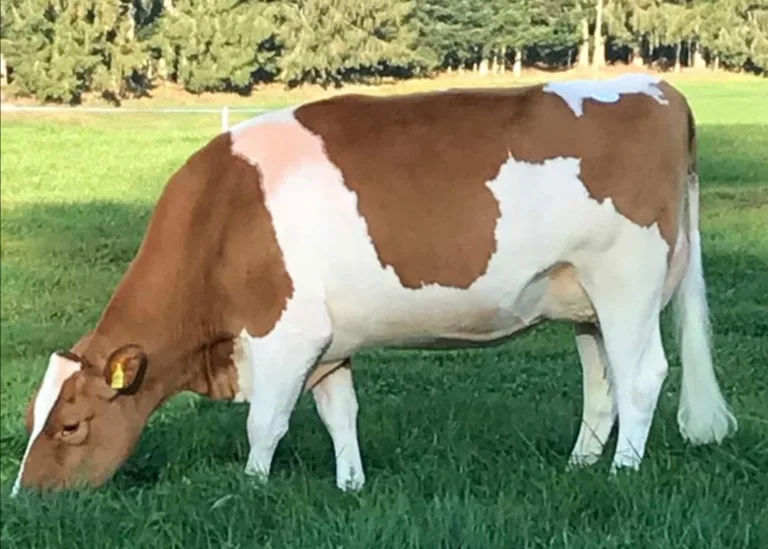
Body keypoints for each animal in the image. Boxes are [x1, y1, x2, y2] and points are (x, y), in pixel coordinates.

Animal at [11, 73, 738, 496]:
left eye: (71, 425)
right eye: (30, 418)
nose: (26, 499)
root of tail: (658, 86)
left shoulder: (285, 332)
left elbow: (265, 423)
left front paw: (251, 490)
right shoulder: (329, 341)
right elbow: (341, 415)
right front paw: (351, 486)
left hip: (627, 281)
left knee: (642, 376)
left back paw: (621, 474)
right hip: (582, 297)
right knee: (603, 385)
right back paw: (580, 467)